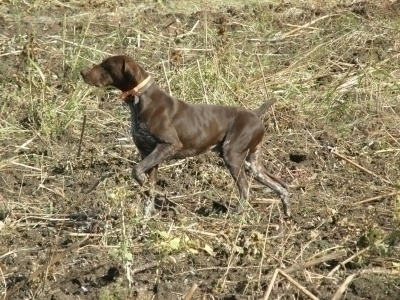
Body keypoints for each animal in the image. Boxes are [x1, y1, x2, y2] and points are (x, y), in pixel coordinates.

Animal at [80, 55, 290, 216]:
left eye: (106, 66)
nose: (82, 73)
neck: (141, 100)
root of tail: (255, 114)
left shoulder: (168, 145)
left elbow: (136, 170)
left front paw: (141, 184)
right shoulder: (149, 154)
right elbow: (149, 190)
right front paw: (146, 216)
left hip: (233, 157)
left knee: (246, 190)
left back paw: (237, 215)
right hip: (252, 164)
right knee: (280, 186)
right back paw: (287, 209)